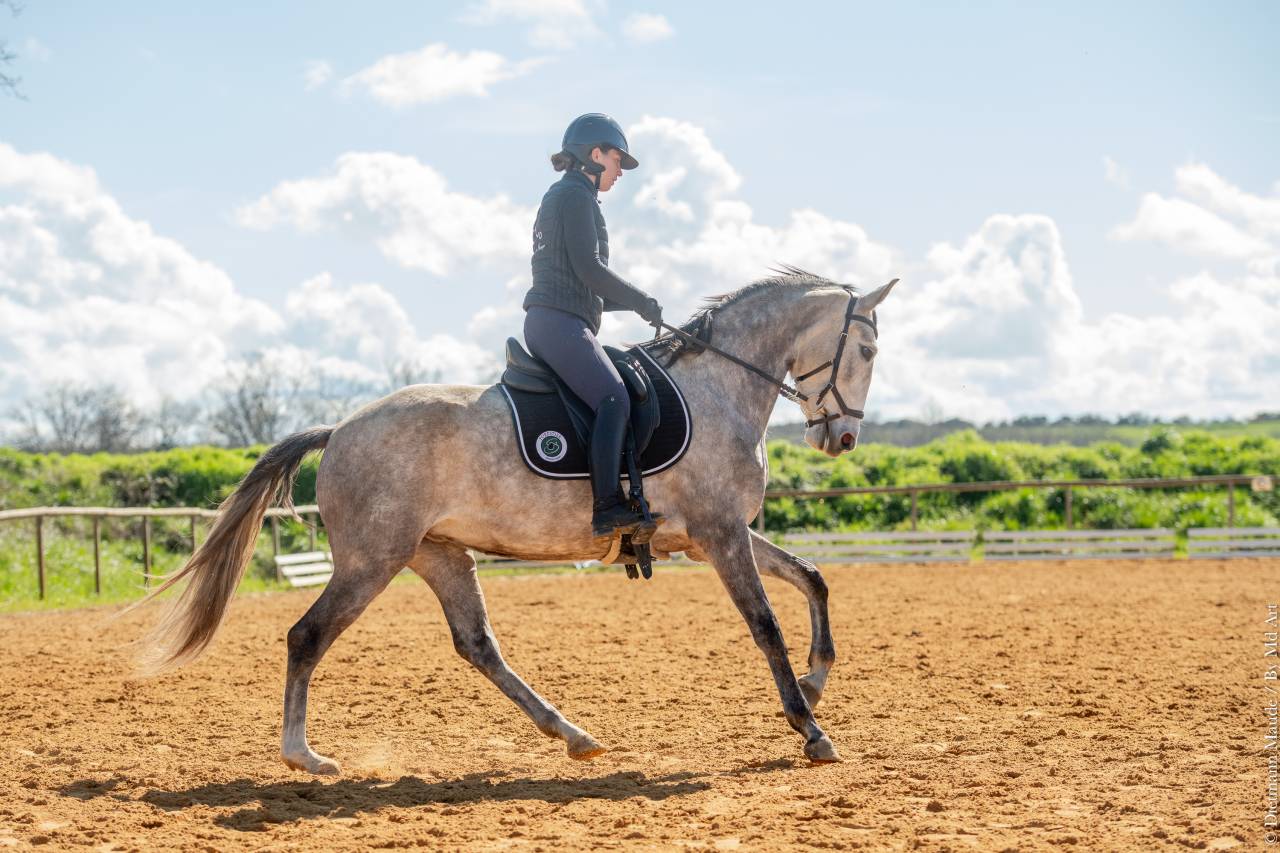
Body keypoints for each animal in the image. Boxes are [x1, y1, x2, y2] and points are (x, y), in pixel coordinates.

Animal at [139, 269, 897, 774]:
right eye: (866, 352)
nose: (842, 439)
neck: (719, 386)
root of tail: (341, 428)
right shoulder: (720, 533)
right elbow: (765, 623)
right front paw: (810, 727)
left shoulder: (713, 534)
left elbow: (814, 576)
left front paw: (817, 679)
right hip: (372, 559)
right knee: (307, 634)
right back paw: (303, 755)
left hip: (438, 554)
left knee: (478, 645)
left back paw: (572, 732)